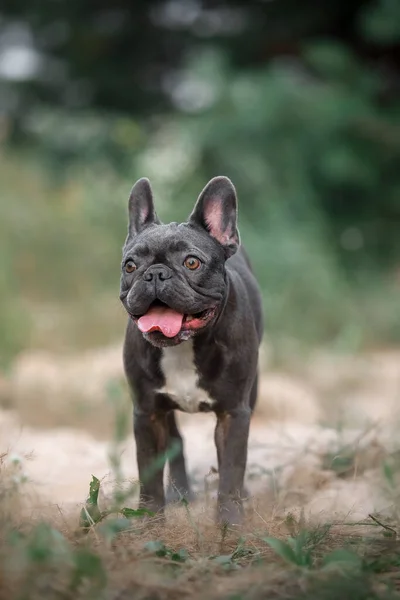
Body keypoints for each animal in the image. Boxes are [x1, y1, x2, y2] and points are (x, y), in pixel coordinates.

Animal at [119, 176, 262, 524]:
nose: (154, 274)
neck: (183, 347)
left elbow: (231, 469)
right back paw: (180, 494)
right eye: (130, 266)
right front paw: (149, 521)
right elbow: (149, 473)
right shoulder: (147, 413)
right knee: (176, 442)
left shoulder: (234, 414)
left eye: (192, 262)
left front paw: (229, 522)